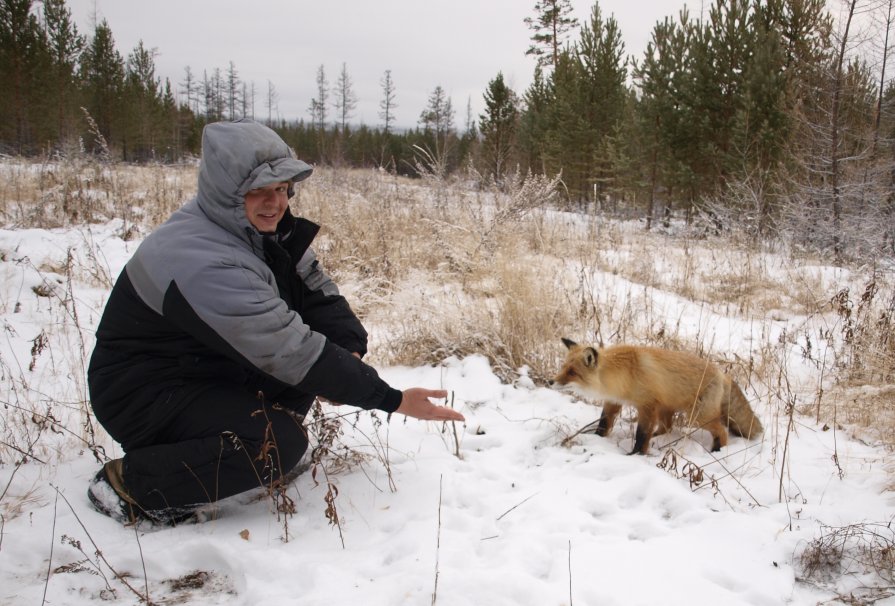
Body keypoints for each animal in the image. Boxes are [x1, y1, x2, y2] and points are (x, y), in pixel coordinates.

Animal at [552, 338, 764, 456]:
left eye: (572, 372)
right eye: (563, 368)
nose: (549, 381)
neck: (624, 374)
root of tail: (724, 375)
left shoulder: (647, 406)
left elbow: (641, 434)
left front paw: (636, 454)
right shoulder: (614, 401)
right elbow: (604, 423)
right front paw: (597, 439)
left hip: (698, 417)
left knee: (722, 431)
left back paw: (717, 451)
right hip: (666, 408)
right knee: (667, 428)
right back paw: (658, 439)